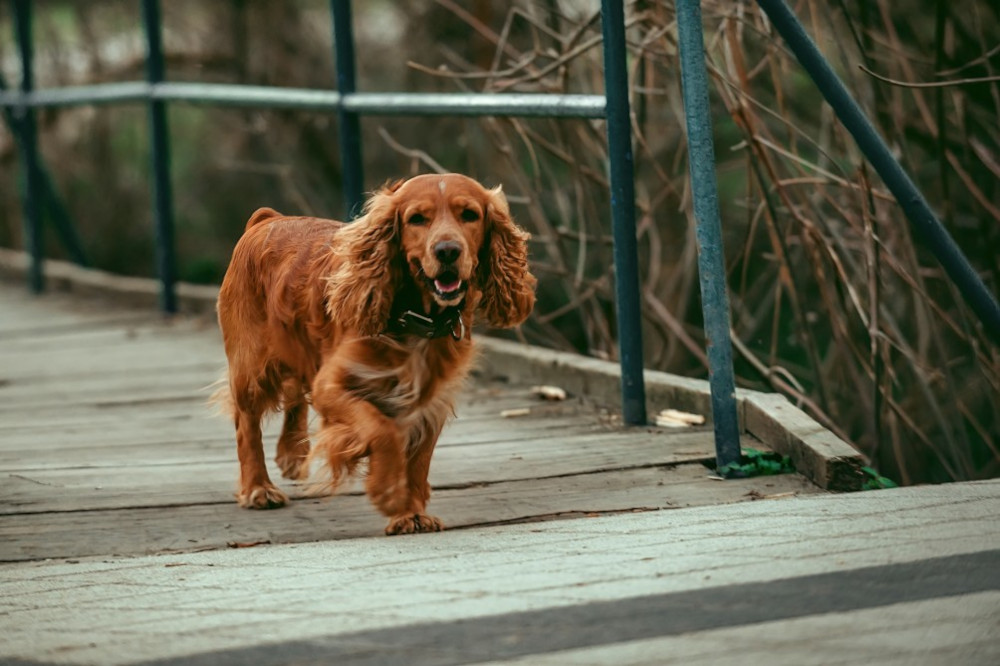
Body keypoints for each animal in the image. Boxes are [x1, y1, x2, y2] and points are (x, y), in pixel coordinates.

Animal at [216, 174, 536, 532]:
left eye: (469, 215)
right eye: (417, 219)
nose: (448, 251)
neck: (417, 319)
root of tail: (267, 219)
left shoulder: (429, 400)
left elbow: (417, 460)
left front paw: (410, 512)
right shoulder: (332, 386)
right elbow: (381, 430)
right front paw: (389, 492)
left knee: (295, 394)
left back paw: (292, 455)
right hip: (251, 367)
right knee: (247, 425)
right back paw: (258, 488)